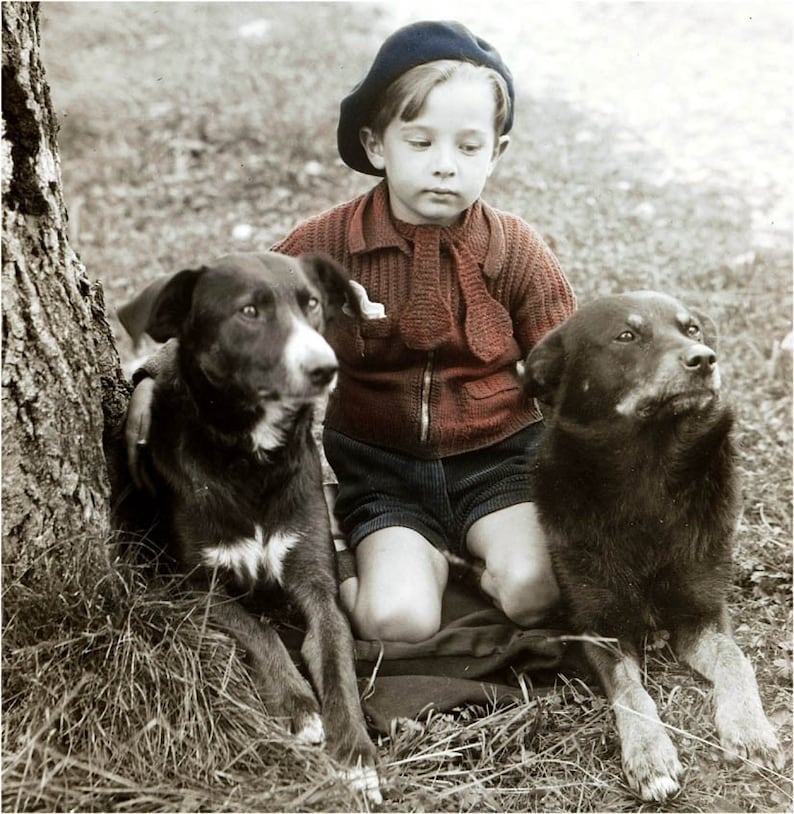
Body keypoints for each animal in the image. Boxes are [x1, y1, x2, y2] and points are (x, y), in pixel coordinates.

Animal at [119, 253, 378, 804]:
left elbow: (337, 658)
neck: (253, 460)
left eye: (312, 304)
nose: (326, 368)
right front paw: (298, 706)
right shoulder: (188, 586)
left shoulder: (318, 584)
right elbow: (258, 628)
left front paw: (355, 752)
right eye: (249, 311)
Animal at [520, 290, 780, 800]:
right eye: (627, 335)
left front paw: (750, 730)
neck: (649, 476)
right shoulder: (598, 628)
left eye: (692, 329)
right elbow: (631, 692)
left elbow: (737, 661)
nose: (705, 360)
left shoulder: (704, 614)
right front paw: (649, 753)